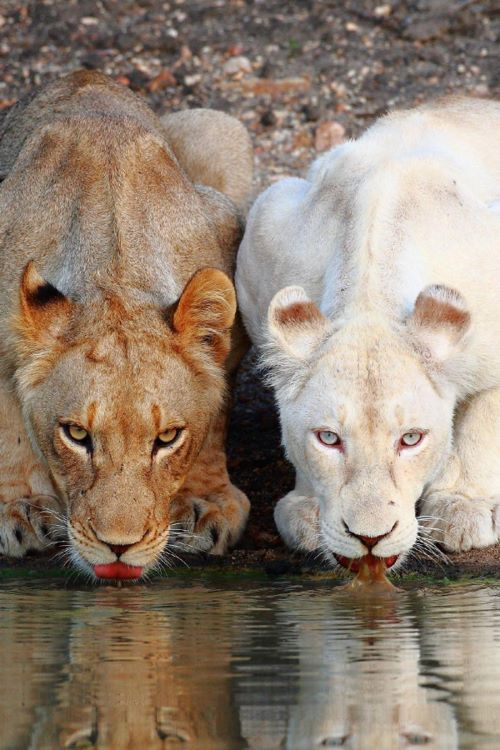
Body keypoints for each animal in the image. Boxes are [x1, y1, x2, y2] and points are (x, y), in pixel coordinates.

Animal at [236, 98, 500, 568]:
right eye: (329, 438)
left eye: (411, 439)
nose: (370, 538)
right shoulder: (264, 230)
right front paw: (308, 509)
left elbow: (485, 413)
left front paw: (464, 506)